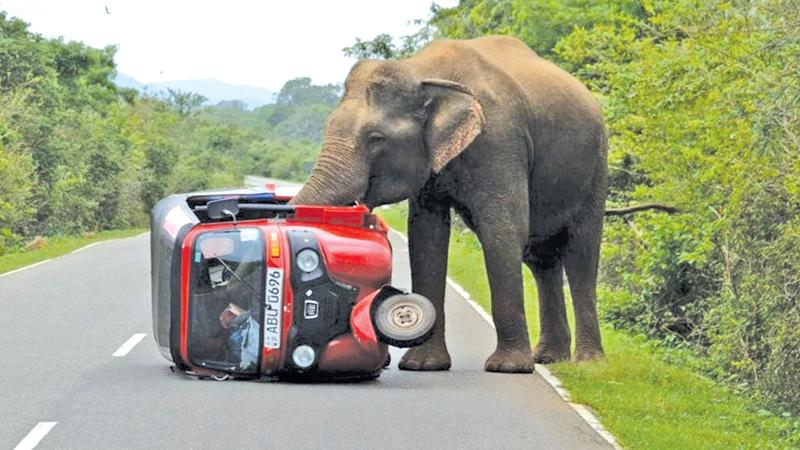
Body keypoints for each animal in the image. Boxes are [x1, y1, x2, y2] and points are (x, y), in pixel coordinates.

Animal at [291, 35, 607, 373]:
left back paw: (587, 363)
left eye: (376, 138)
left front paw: (507, 368)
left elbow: (504, 229)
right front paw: (423, 366)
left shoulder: (500, 142)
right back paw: (548, 358)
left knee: (581, 254)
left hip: (597, 164)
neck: (422, 70)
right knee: (541, 258)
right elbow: (426, 237)